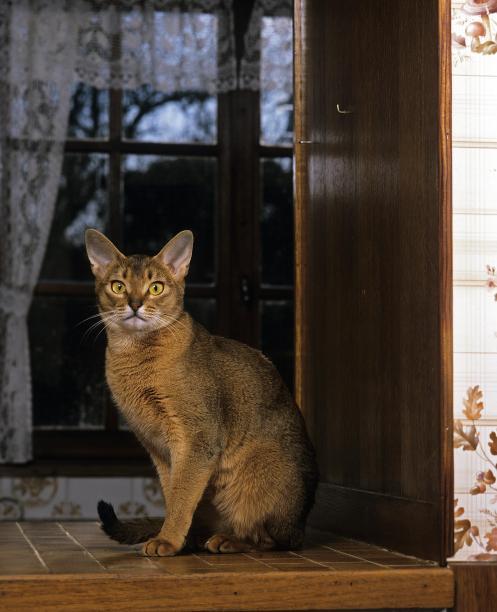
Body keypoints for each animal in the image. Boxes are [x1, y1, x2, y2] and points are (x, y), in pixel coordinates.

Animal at [85, 228, 318, 556]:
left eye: (155, 288)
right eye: (118, 286)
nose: (135, 304)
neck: (135, 356)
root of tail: (300, 524)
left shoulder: (198, 438)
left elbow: (182, 496)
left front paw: (167, 540)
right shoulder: (158, 447)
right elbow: (172, 493)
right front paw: (175, 538)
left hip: (257, 477)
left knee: (269, 539)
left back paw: (228, 540)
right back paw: (199, 538)